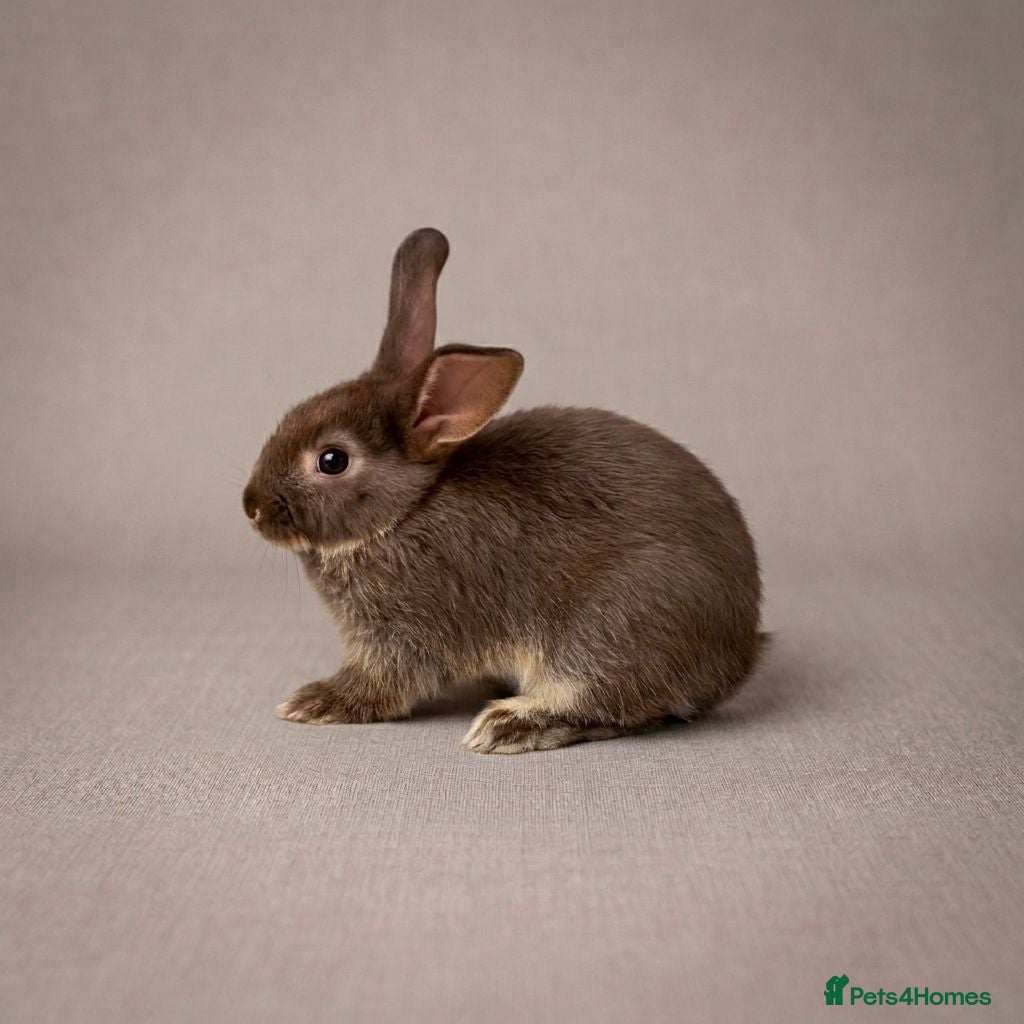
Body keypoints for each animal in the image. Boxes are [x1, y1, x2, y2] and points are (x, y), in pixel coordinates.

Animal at [243, 227, 766, 754]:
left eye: (332, 460)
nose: (252, 507)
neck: (406, 512)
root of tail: (738, 655)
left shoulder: (403, 634)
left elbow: (383, 682)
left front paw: (315, 701)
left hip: (606, 627)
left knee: (607, 703)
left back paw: (509, 723)